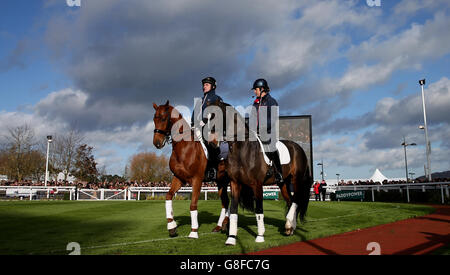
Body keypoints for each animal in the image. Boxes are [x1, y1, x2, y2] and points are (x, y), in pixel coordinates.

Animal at [152, 101, 230, 239]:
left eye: (163, 118)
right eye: (153, 119)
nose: (157, 142)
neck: (184, 148)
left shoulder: (197, 180)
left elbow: (193, 205)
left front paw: (193, 231)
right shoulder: (178, 178)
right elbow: (168, 196)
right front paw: (171, 226)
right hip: (221, 182)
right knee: (225, 202)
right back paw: (220, 226)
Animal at [209, 100, 312, 247]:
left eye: (214, 115)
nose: (210, 140)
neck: (243, 148)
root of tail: (298, 147)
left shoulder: (256, 185)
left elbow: (259, 210)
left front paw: (260, 236)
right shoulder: (235, 183)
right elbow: (233, 210)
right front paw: (231, 238)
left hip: (296, 179)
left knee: (296, 200)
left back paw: (288, 225)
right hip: (283, 183)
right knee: (291, 201)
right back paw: (290, 227)